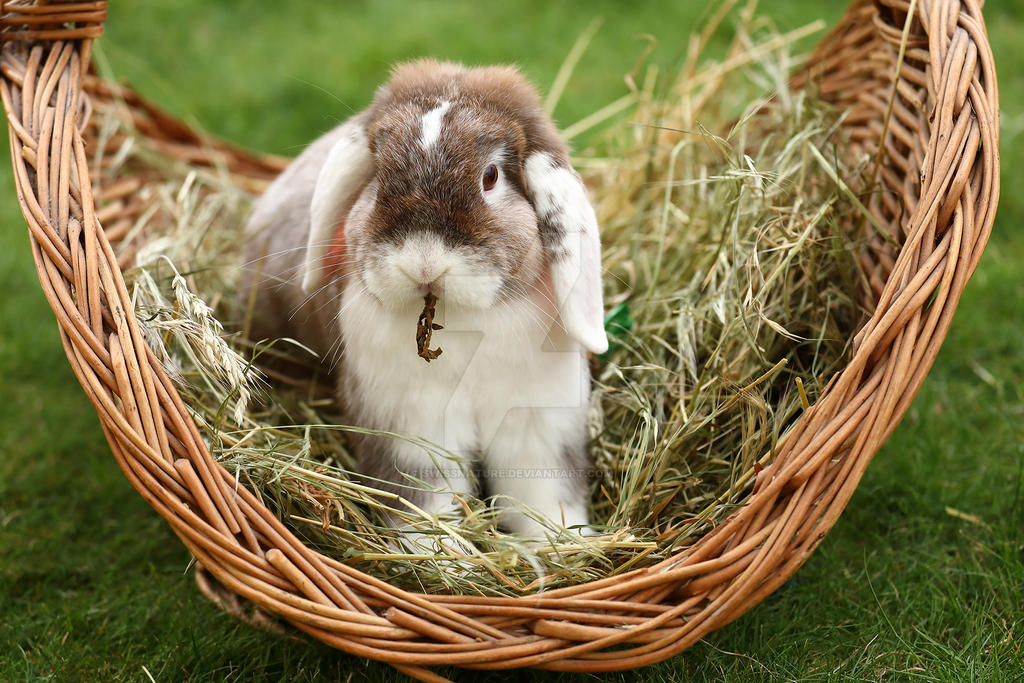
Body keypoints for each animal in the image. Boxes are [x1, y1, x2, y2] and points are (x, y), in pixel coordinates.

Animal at [240, 59, 608, 540]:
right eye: (378, 177)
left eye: (490, 177)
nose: (424, 263)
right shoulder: (412, 430)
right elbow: (424, 501)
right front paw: (442, 552)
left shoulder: (539, 427)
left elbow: (545, 496)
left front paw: (559, 544)